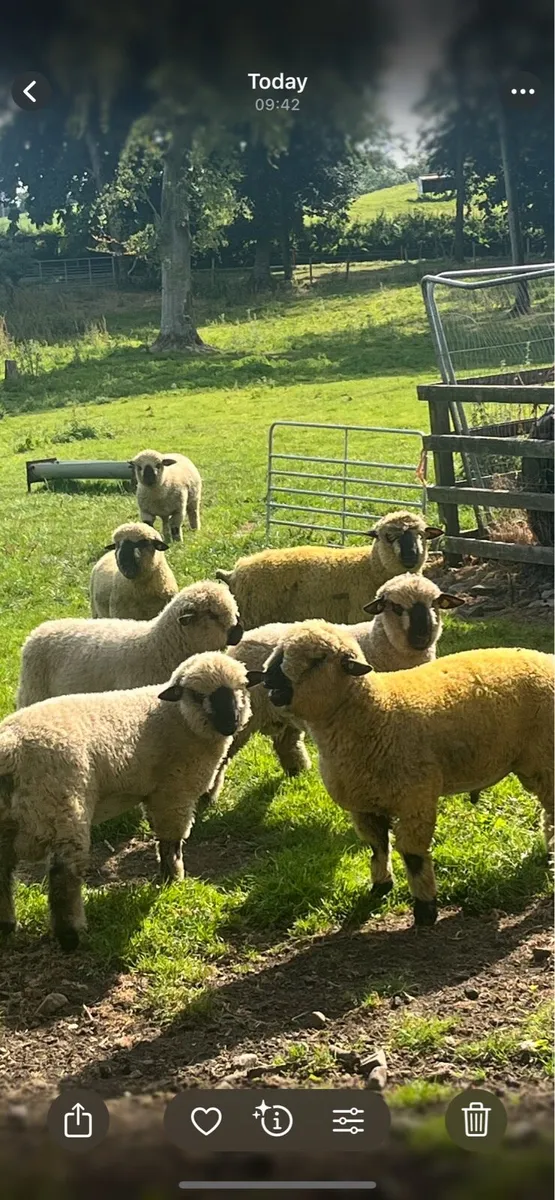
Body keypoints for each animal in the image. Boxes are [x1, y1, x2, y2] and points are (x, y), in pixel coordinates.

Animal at [0, 653, 251, 950]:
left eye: (241, 688)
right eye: (198, 694)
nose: (232, 722)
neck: (175, 716)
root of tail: (10, 749)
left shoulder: (154, 794)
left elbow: (160, 836)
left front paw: (168, 874)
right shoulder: (174, 793)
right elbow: (172, 842)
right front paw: (173, 878)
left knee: (2, 874)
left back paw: (5, 925)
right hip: (63, 811)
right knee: (64, 877)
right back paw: (71, 935)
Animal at [204, 575, 465, 803]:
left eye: (435, 604)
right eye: (396, 607)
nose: (423, 635)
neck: (377, 644)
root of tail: (241, 642)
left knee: (285, 742)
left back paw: (297, 771)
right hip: (241, 720)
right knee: (220, 758)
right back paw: (208, 796)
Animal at [215, 510, 443, 627]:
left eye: (422, 535)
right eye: (389, 537)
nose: (411, 556)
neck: (370, 567)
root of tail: (233, 573)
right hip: (253, 616)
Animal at [248, 622, 554, 927]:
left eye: (317, 659)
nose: (268, 681)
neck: (376, 712)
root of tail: (546, 659)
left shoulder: (415, 801)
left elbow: (413, 856)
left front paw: (425, 909)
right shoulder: (363, 806)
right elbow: (377, 847)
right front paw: (380, 886)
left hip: (545, 760)